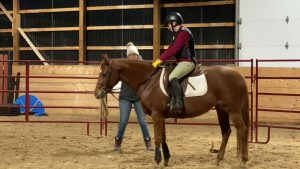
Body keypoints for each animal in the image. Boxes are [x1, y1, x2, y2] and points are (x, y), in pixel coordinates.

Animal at [94, 54, 248, 166]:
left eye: (104, 73)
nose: (97, 94)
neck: (149, 80)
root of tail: (239, 76)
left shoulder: (156, 115)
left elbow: (157, 137)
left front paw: (157, 160)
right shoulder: (161, 115)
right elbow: (163, 137)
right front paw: (166, 159)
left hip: (233, 111)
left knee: (242, 130)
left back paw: (243, 160)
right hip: (221, 110)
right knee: (226, 132)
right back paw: (218, 159)